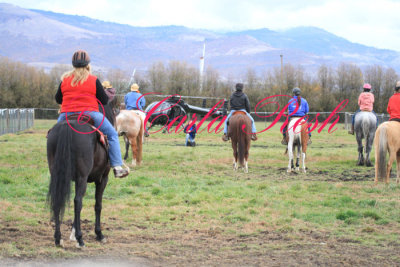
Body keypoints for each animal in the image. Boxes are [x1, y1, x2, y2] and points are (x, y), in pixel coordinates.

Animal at [47, 103, 115, 248]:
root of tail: (67, 126)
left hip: (58, 176)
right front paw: (99, 234)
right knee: (77, 201)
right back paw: (80, 239)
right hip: (82, 178)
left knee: (57, 200)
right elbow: (97, 204)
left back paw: (58, 238)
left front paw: (72, 233)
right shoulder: (102, 179)